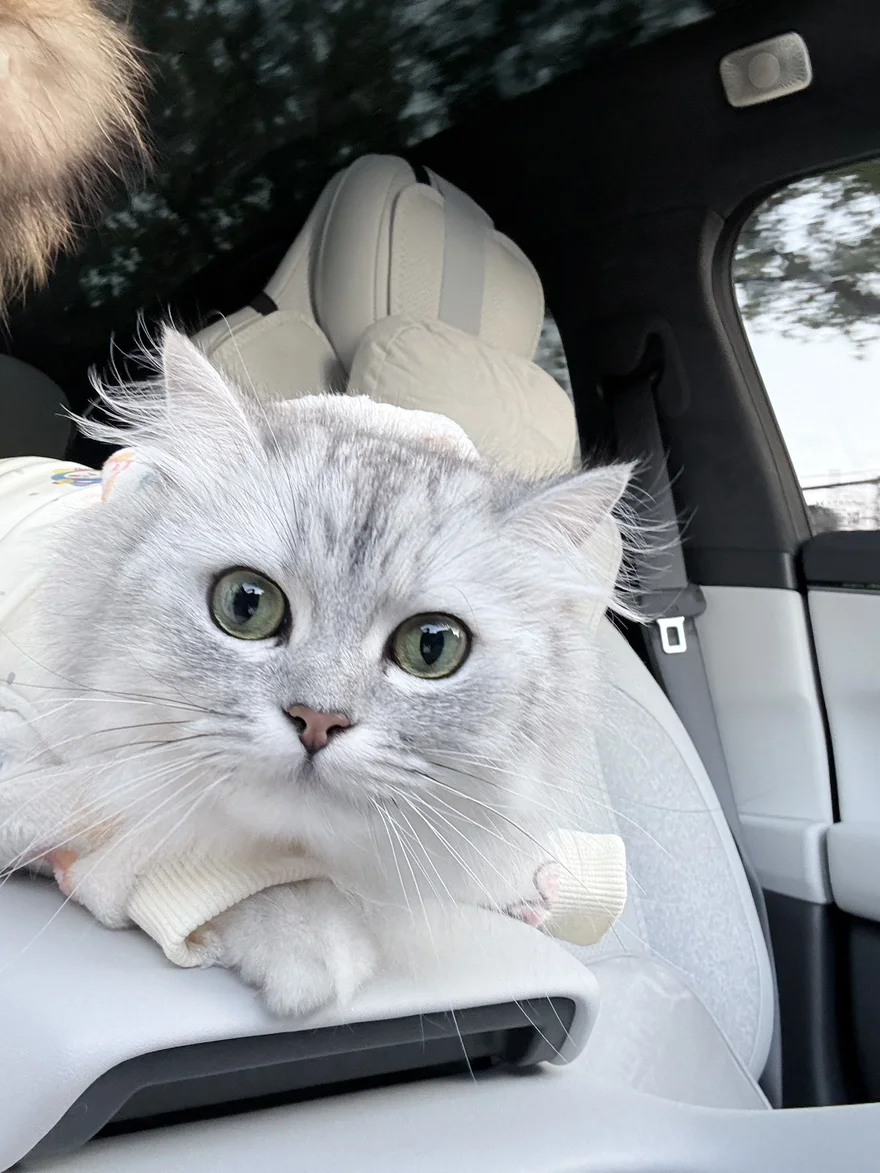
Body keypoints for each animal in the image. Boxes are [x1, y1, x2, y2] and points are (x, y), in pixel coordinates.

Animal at [0, 328, 631, 1016]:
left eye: (431, 647)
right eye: (246, 604)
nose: (317, 719)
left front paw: (530, 886)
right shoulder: (38, 764)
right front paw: (314, 946)